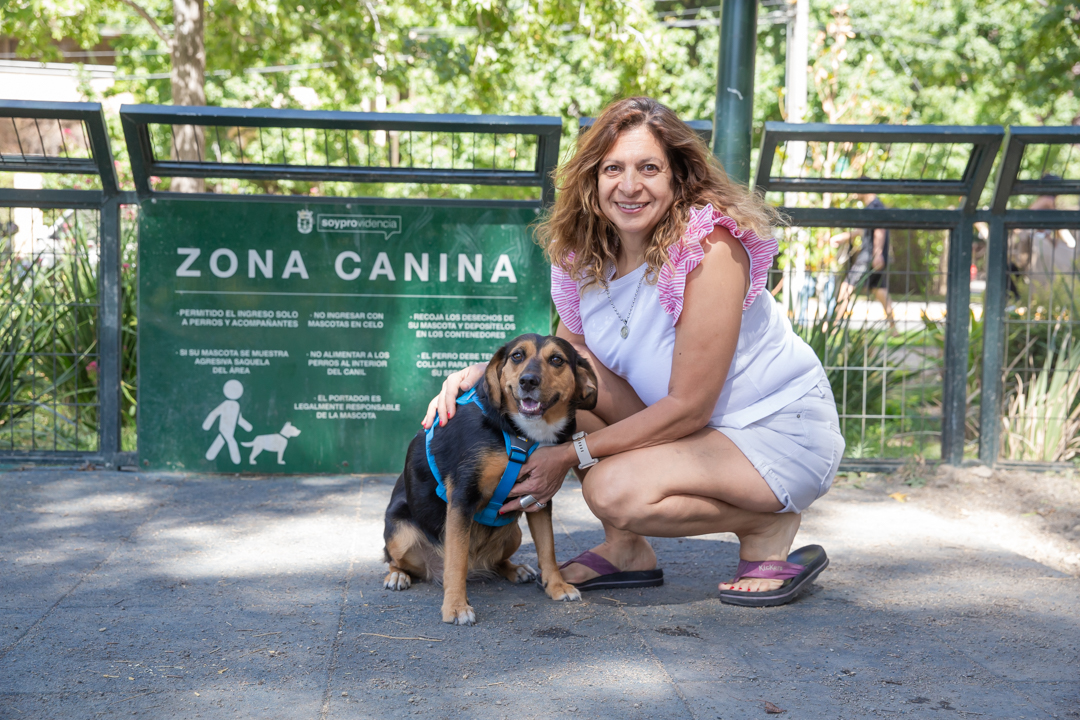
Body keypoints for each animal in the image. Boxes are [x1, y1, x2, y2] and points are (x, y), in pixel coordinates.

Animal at [382, 336, 604, 626]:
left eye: (557, 359)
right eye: (517, 356)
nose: (528, 381)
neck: (523, 434)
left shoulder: (538, 497)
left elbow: (548, 548)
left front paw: (556, 587)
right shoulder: (463, 496)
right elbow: (456, 561)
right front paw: (456, 607)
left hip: (514, 533)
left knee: (497, 562)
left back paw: (516, 569)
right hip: (400, 534)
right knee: (394, 559)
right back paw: (398, 575)